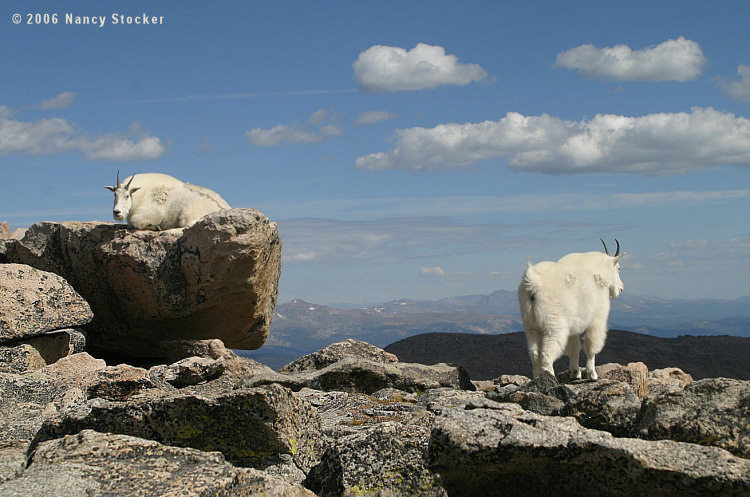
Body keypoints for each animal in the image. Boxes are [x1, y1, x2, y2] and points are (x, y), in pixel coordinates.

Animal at [517, 240, 625, 380]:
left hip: (530, 326)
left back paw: (537, 378)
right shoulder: (597, 320)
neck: (597, 274)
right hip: (554, 326)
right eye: (618, 268)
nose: (621, 289)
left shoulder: (572, 328)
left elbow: (574, 348)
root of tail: (534, 283)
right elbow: (590, 347)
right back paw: (551, 378)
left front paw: (576, 373)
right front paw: (592, 374)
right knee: (546, 354)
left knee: (534, 353)